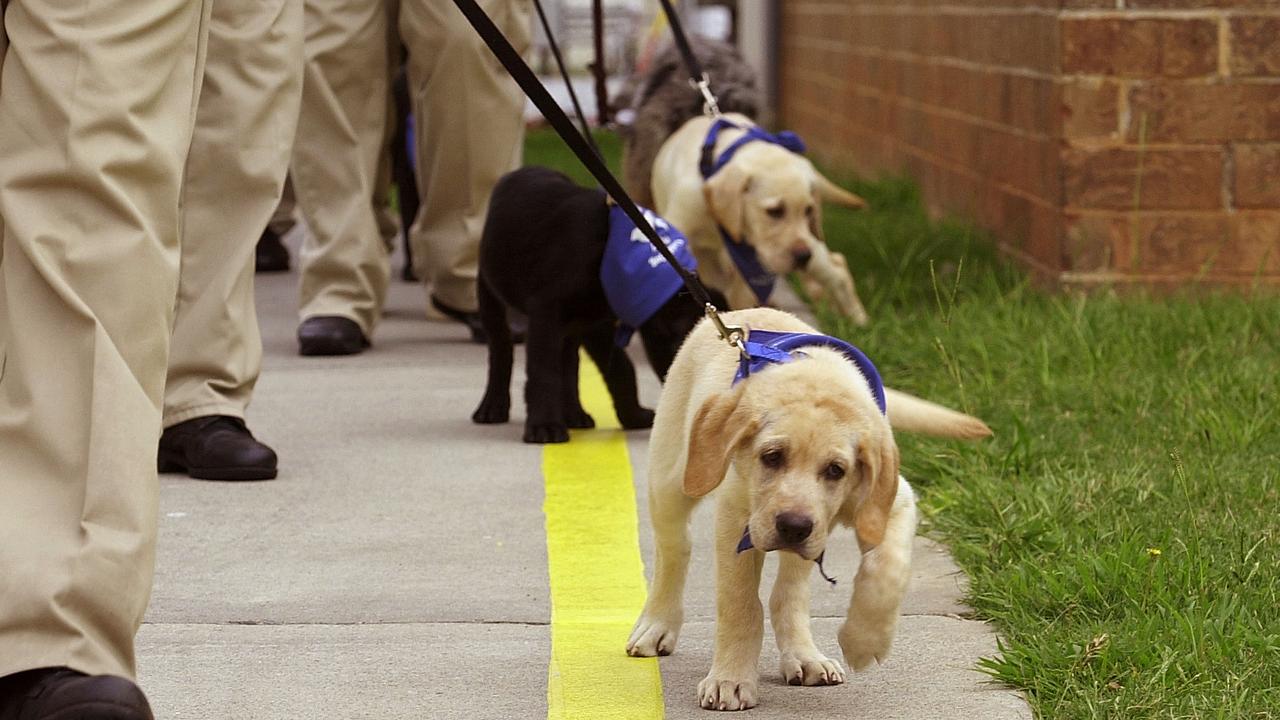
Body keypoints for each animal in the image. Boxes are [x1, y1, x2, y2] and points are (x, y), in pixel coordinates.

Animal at [476, 166, 727, 443]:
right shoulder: (546, 314)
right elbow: (544, 370)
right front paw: (545, 426)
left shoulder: (597, 323)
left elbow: (620, 367)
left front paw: (633, 415)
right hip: (490, 294)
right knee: (501, 351)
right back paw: (492, 407)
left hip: (574, 324)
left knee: (569, 362)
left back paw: (574, 414)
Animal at [629, 304, 988, 707]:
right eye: (772, 457)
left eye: (836, 470)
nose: (793, 526)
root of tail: (736, 312)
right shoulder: (736, 518)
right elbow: (740, 605)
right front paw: (730, 679)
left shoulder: (891, 501)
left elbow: (887, 569)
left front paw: (864, 641)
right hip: (673, 479)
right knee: (674, 550)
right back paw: (657, 624)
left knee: (788, 591)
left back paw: (804, 655)